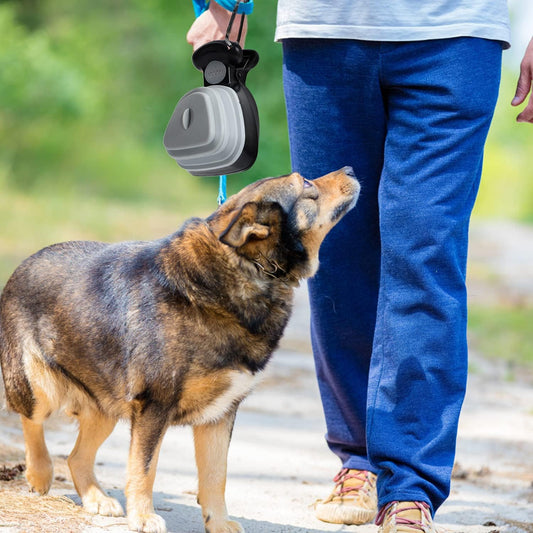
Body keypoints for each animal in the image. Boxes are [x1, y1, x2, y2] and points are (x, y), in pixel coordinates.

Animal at [0, 167, 360, 532]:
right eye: (306, 184)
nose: (350, 170)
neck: (245, 265)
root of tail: (26, 263)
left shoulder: (220, 415)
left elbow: (216, 476)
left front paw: (218, 522)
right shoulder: (154, 407)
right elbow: (144, 469)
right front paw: (143, 517)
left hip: (106, 407)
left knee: (76, 457)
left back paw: (96, 499)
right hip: (39, 388)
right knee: (32, 421)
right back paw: (40, 473)